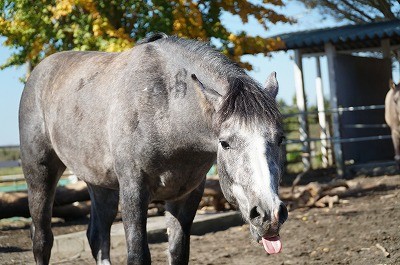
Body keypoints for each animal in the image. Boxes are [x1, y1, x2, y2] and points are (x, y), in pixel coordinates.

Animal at [19, 33, 288, 264]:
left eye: (280, 139)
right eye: (225, 143)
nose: (269, 215)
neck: (166, 109)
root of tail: (38, 72)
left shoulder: (185, 196)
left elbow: (178, 253)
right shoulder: (133, 190)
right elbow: (138, 255)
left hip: (100, 185)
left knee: (97, 237)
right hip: (40, 175)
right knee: (42, 239)